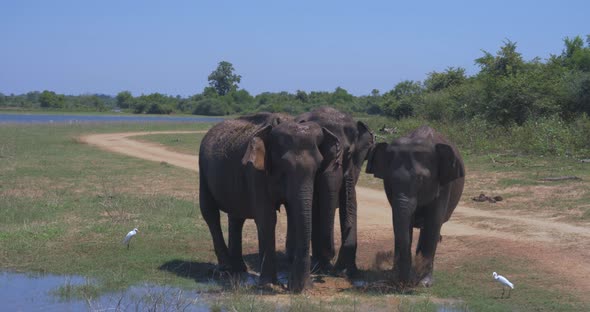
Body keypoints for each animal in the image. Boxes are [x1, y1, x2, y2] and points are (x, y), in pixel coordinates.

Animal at [199, 112, 342, 292]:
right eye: (284, 165)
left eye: (318, 167)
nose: (303, 288)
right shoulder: (255, 171)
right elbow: (267, 218)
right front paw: (269, 284)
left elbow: (294, 214)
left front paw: (295, 287)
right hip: (202, 168)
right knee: (210, 212)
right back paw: (227, 268)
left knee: (236, 217)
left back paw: (239, 268)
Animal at [294, 107, 374, 276]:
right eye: (319, 153)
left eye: (349, 153)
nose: (332, 256)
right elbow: (316, 207)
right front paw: (322, 267)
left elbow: (351, 201)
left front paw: (346, 272)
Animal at [366, 125, 468, 286]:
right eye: (389, 179)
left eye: (421, 179)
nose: (404, 283)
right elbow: (402, 223)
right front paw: (398, 276)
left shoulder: (444, 184)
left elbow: (433, 223)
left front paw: (424, 283)